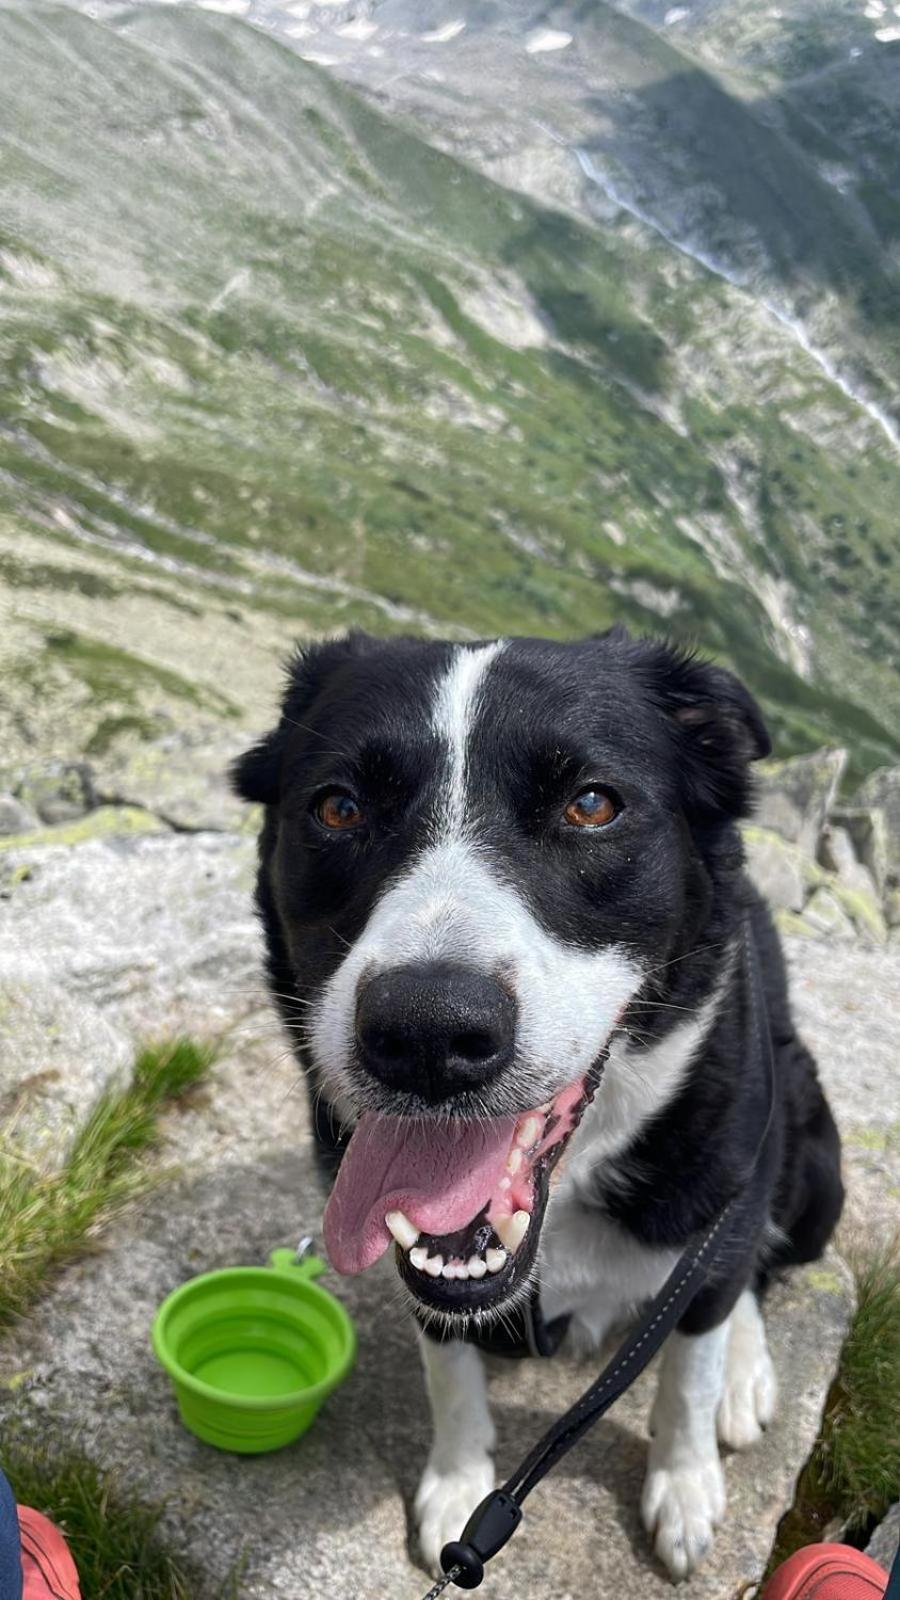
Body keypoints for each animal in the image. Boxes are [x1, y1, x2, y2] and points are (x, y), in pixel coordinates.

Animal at [232, 630, 839, 1580]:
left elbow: (691, 1360)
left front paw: (685, 1484)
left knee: (748, 1271)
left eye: (591, 805)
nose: (426, 1033)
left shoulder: (723, 1185)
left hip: (811, 1159)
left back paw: (745, 1371)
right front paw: (456, 1483)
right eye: (337, 808)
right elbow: (449, 1371)